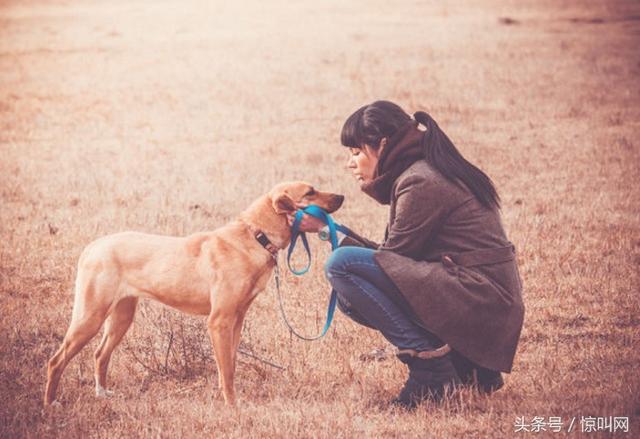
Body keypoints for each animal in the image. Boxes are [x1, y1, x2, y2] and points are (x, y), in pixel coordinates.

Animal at [43, 181, 344, 406]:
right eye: (310, 192)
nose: (342, 195)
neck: (255, 236)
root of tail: (93, 246)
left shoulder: (236, 321)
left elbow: (230, 365)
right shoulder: (219, 322)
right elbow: (227, 371)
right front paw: (232, 406)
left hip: (121, 317)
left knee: (100, 355)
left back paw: (102, 393)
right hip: (90, 317)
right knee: (56, 361)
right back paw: (50, 403)